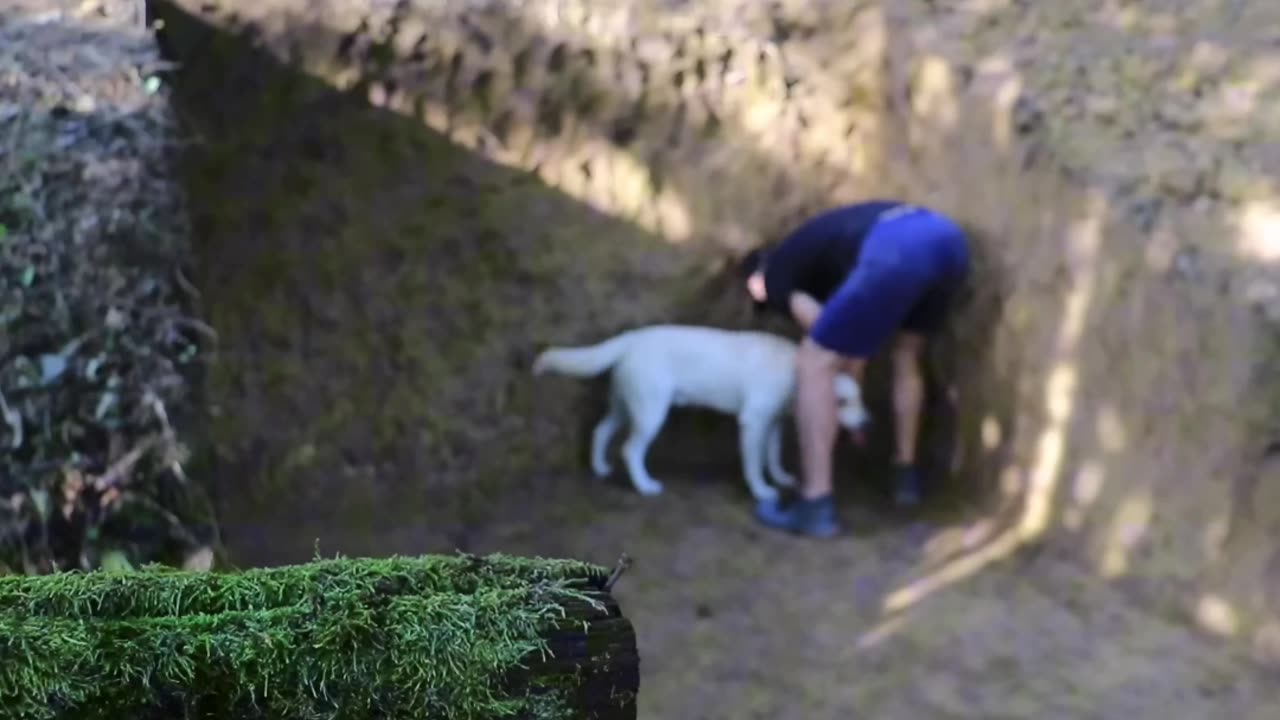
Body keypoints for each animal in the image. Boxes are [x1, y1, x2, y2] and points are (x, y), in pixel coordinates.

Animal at [529, 324, 870, 499]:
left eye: (859, 398)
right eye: (842, 402)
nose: (868, 422)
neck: (793, 370)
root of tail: (632, 338)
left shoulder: (773, 424)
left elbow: (771, 457)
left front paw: (781, 478)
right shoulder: (753, 423)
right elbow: (754, 464)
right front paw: (761, 490)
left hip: (625, 407)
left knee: (600, 431)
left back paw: (600, 468)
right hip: (651, 413)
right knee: (630, 450)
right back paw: (645, 485)